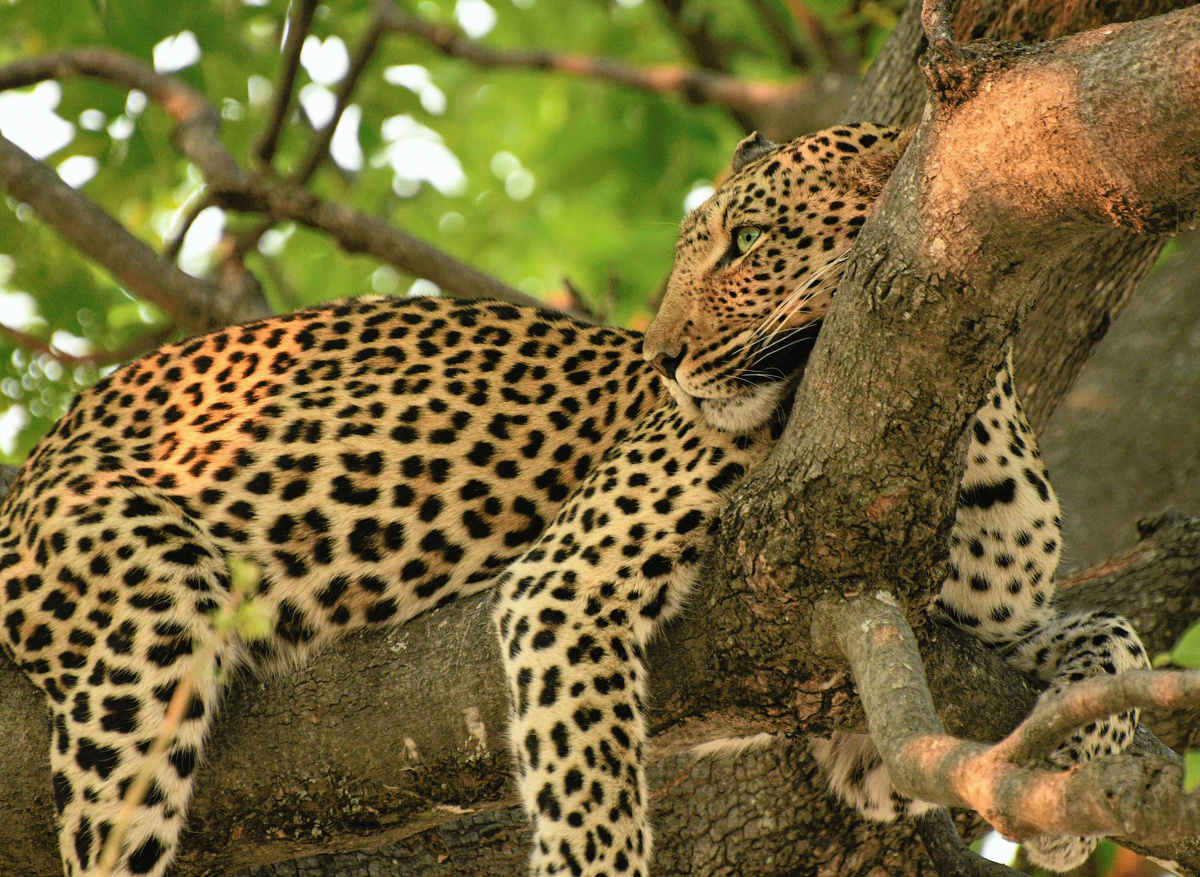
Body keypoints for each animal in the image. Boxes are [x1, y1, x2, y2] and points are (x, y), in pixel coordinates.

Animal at [0, 122, 1149, 877]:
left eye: (750, 242)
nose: (661, 356)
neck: (960, 426)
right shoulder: (567, 586)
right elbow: (590, 799)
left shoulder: (877, 695)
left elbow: (1113, 632)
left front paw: (1076, 786)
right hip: (143, 612)